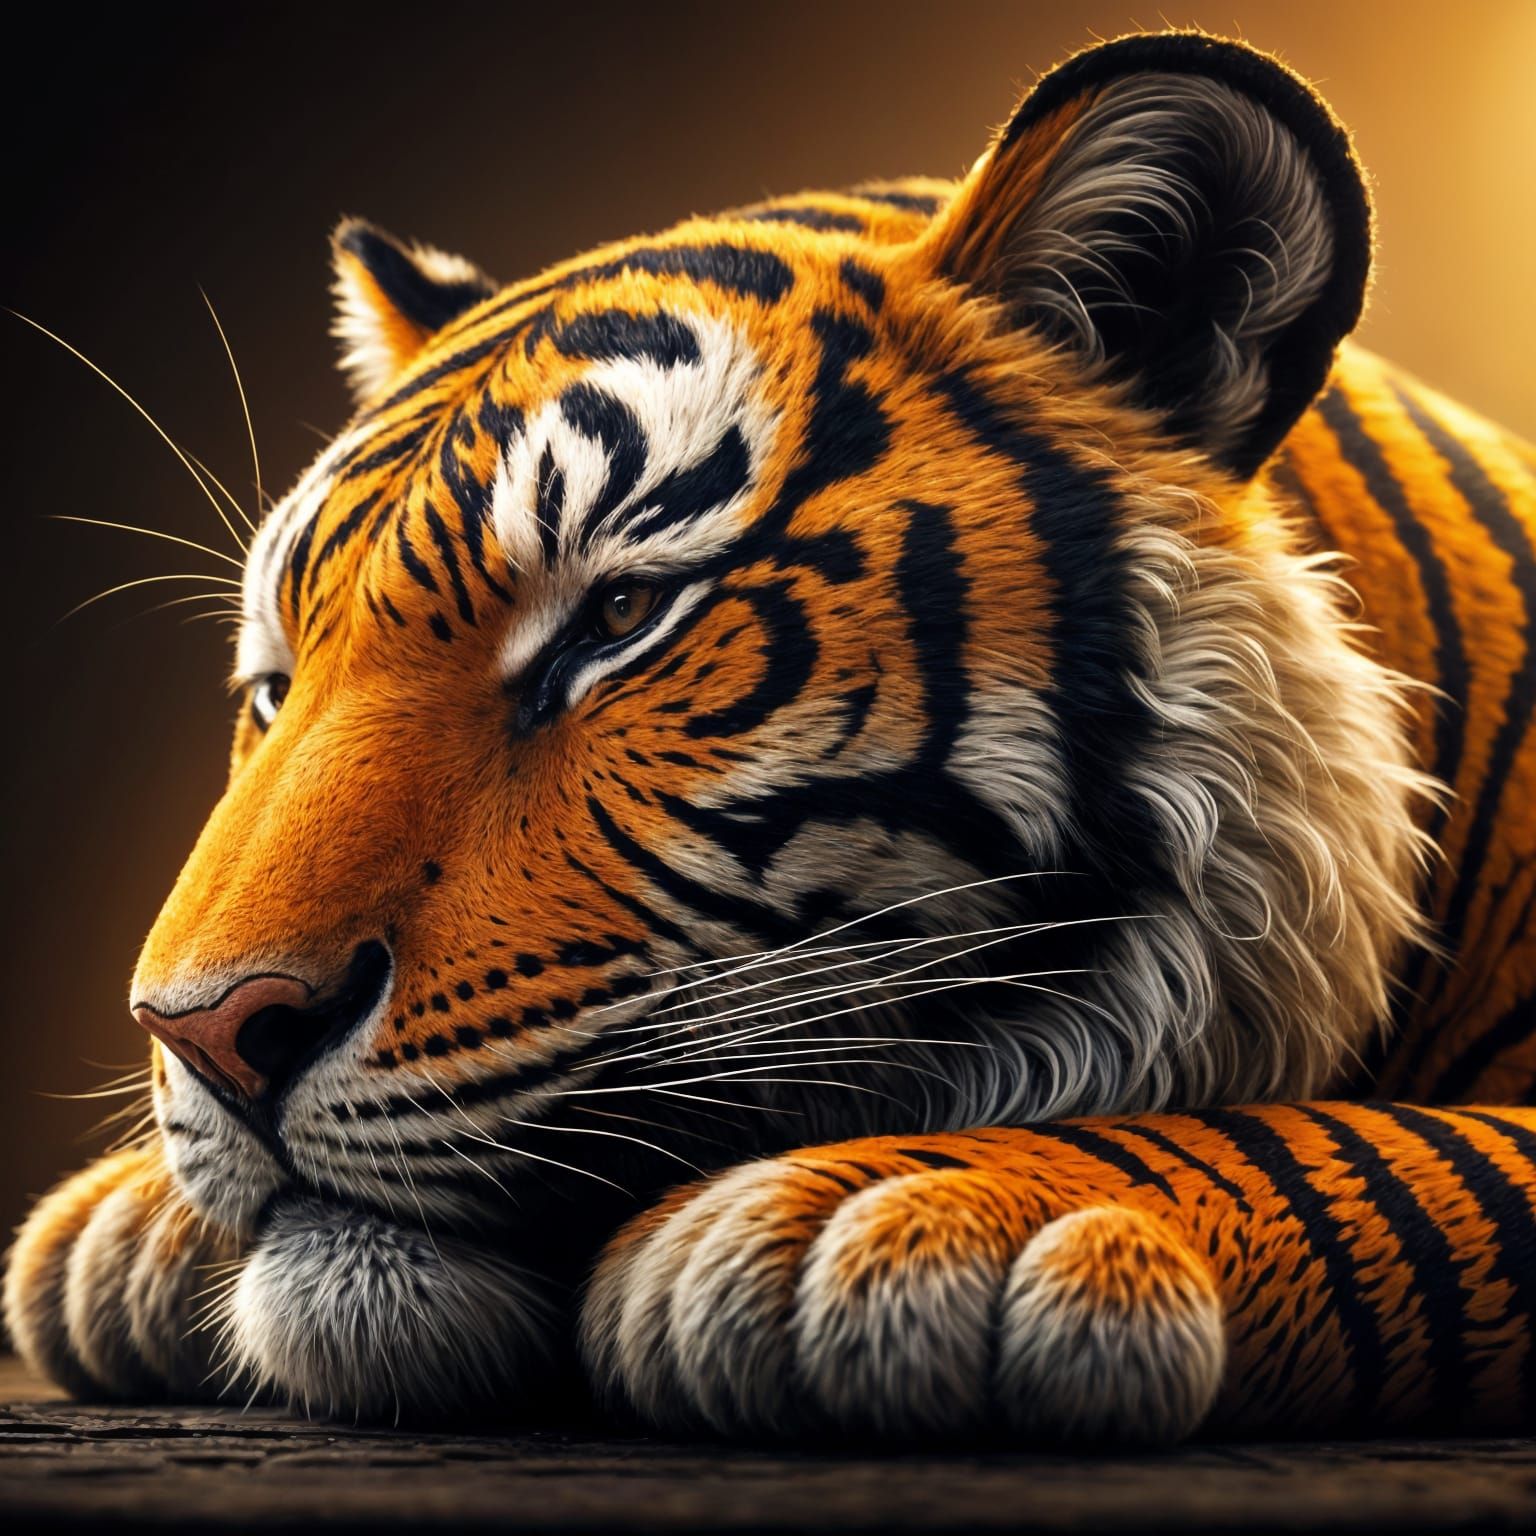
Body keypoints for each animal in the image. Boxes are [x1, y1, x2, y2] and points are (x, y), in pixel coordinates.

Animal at [7, 30, 1536, 1443]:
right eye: (277, 686)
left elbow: (1365, 1153)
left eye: (620, 616)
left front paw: (910, 1215)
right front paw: (120, 1229)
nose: (204, 1033)